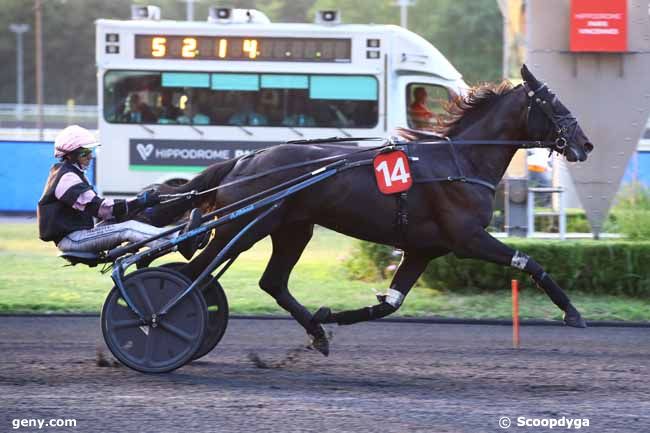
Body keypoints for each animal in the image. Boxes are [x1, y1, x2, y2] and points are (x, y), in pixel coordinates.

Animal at [147, 65, 592, 354]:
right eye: (553, 103)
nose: (585, 144)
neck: (460, 161)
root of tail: (244, 161)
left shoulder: (423, 249)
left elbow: (389, 304)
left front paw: (330, 316)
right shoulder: (468, 239)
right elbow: (530, 262)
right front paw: (573, 312)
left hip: (292, 229)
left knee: (269, 282)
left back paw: (316, 331)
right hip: (243, 227)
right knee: (190, 275)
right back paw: (158, 318)